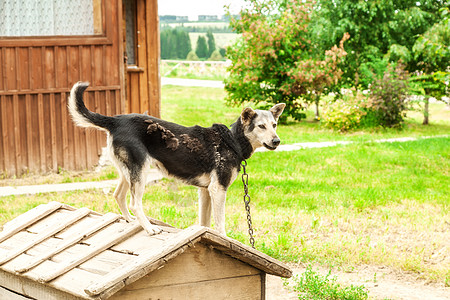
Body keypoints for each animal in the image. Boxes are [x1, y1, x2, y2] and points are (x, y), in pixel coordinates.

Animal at [67, 82, 284, 237]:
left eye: (274, 124)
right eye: (261, 126)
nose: (277, 141)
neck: (232, 140)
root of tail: (115, 120)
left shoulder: (205, 191)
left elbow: (204, 223)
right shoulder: (218, 189)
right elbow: (220, 223)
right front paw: (224, 238)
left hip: (127, 171)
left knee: (118, 195)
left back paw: (131, 221)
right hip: (141, 171)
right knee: (135, 203)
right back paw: (149, 228)